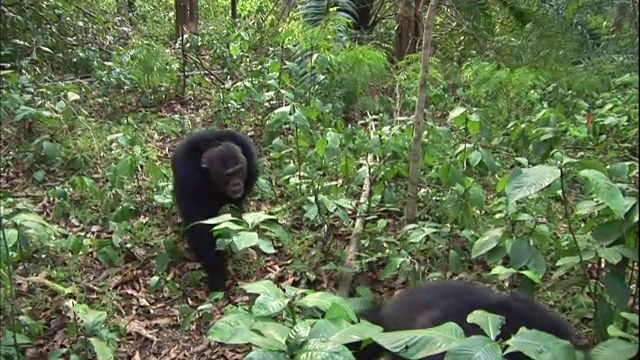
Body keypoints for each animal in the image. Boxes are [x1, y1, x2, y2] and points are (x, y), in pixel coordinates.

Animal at [172, 129, 260, 292]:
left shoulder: (249, 158)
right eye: (228, 174)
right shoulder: (187, 175)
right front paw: (216, 273)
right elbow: (198, 226)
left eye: (238, 170)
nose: (236, 183)